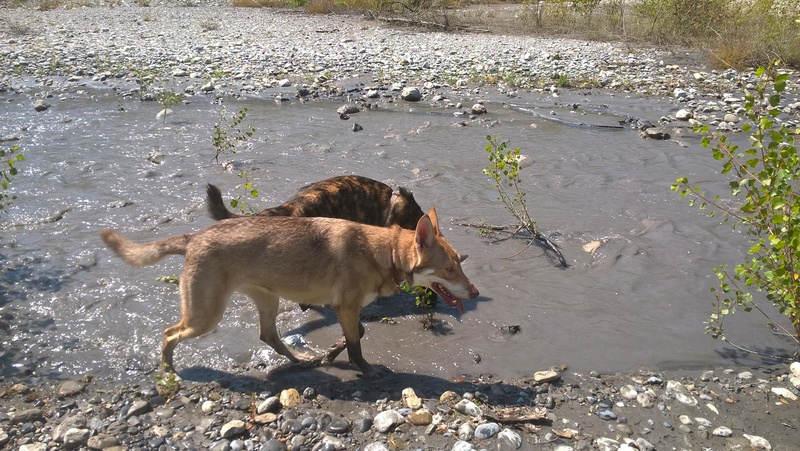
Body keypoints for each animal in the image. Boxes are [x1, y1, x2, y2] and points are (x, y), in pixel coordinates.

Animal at [98, 207, 476, 374]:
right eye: (449, 269)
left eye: (461, 262)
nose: (473, 293)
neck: (381, 252)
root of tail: (193, 238)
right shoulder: (345, 307)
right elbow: (356, 345)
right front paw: (365, 368)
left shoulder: (346, 309)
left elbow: (356, 334)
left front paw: (330, 354)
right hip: (205, 317)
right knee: (168, 334)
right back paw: (168, 371)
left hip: (269, 300)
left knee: (269, 336)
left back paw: (302, 360)